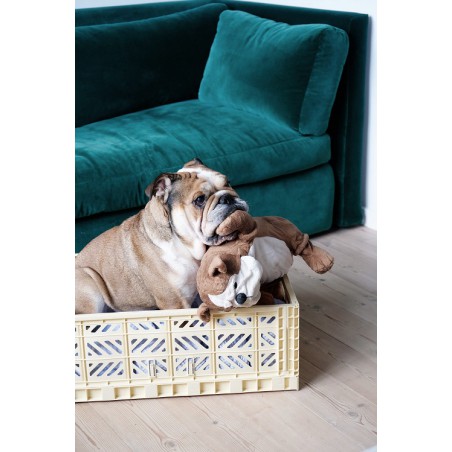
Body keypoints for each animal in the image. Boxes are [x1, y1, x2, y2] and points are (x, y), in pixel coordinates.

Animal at [75, 159, 248, 314]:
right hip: (90, 287)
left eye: (228, 182)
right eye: (199, 200)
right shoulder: (175, 302)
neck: (185, 245)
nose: (227, 197)